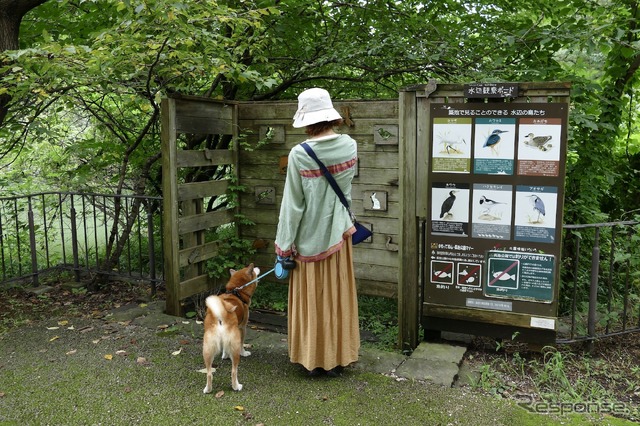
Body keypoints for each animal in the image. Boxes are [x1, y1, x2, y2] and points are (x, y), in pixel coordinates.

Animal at [201, 262, 258, 392]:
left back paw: (208, 389)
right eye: (254, 271)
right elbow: (242, 344)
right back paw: (236, 386)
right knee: (233, 371)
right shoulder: (242, 328)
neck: (236, 292)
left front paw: (225, 355)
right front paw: (244, 352)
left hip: (207, 349)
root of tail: (220, 316)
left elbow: (224, 348)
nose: (257, 267)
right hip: (234, 347)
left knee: (209, 373)